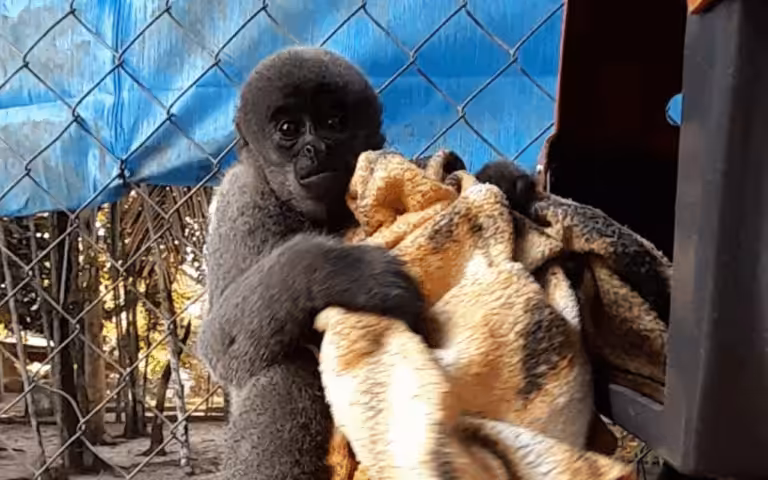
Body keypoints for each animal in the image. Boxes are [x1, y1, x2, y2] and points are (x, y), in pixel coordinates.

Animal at [198, 47, 427, 480]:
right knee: (288, 372)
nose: (314, 148)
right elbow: (219, 343)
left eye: (333, 123)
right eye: (289, 129)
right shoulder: (241, 196)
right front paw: (345, 271)